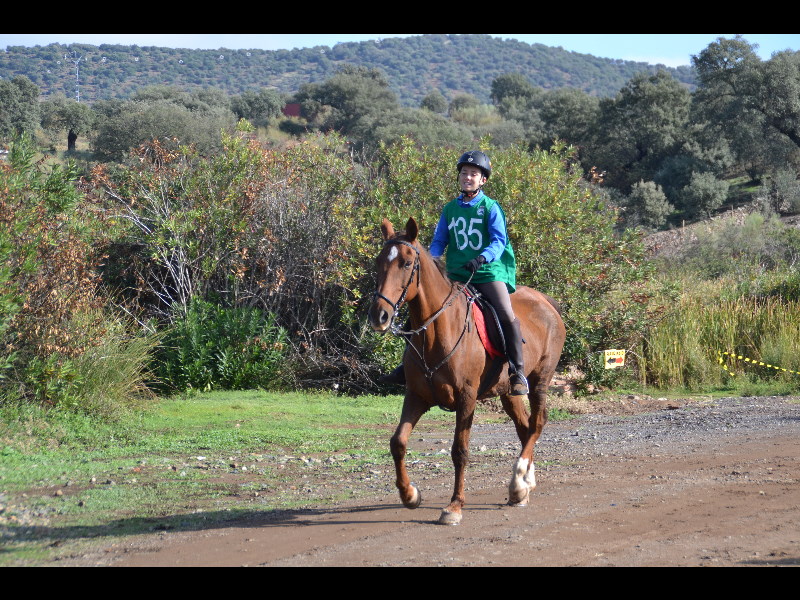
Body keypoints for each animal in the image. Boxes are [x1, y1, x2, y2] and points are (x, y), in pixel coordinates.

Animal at [368, 219, 568, 524]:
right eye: (379, 261)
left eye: (406, 263)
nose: (379, 316)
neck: (436, 333)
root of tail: (546, 301)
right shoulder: (416, 396)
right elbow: (398, 442)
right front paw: (410, 494)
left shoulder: (466, 398)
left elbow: (460, 451)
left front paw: (454, 506)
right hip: (508, 392)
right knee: (524, 427)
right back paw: (523, 486)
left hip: (540, 380)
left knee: (537, 422)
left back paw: (518, 481)